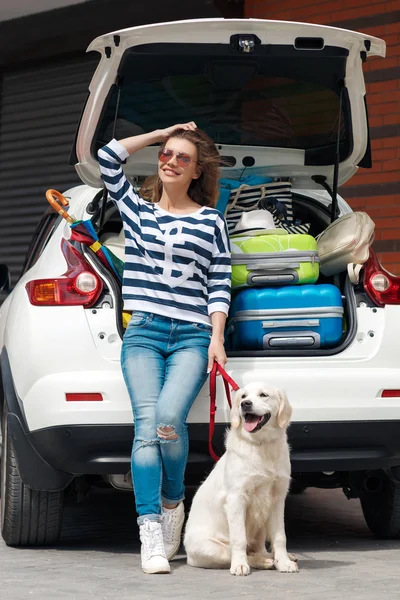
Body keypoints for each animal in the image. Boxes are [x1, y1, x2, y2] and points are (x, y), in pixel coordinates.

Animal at [184, 384, 296, 576]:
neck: (261, 445)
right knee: (233, 552)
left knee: (259, 548)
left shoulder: (277, 499)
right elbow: (239, 539)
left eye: (263, 395)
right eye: (243, 396)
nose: (245, 404)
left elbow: (280, 536)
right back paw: (260, 561)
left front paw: (283, 562)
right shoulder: (236, 499)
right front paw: (240, 565)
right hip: (210, 548)